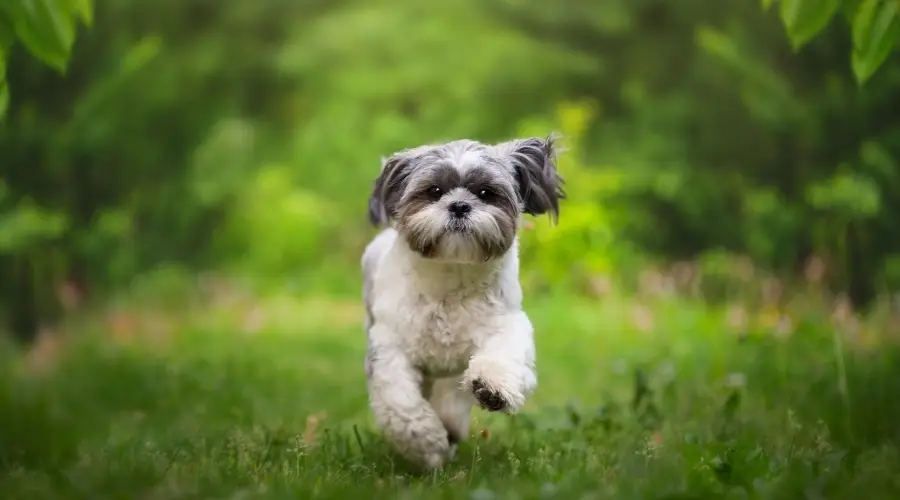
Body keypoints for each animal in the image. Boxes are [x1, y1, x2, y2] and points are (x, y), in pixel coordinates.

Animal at [358, 134, 564, 468]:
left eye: (485, 193)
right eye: (434, 191)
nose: (459, 205)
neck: (451, 280)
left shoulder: (507, 325)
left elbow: (500, 358)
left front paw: (491, 388)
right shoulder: (389, 347)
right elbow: (401, 402)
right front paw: (427, 443)